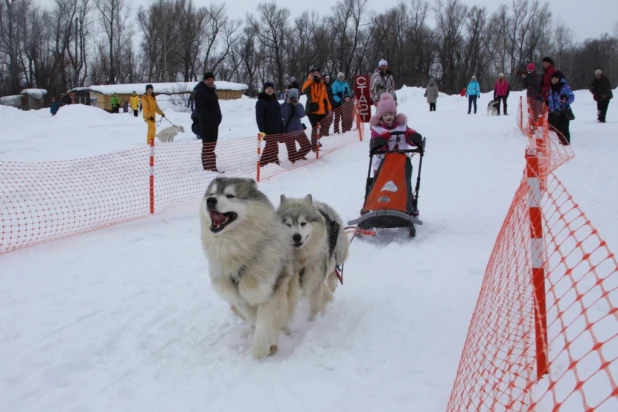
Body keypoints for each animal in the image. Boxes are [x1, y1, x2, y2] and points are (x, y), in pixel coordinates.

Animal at [200, 179, 298, 358]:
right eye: (211, 194)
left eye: (230, 195)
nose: (210, 201)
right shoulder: (236, 296)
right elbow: (254, 317)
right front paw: (270, 342)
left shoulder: (270, 290)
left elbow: (265, 320)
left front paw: (262, 347)